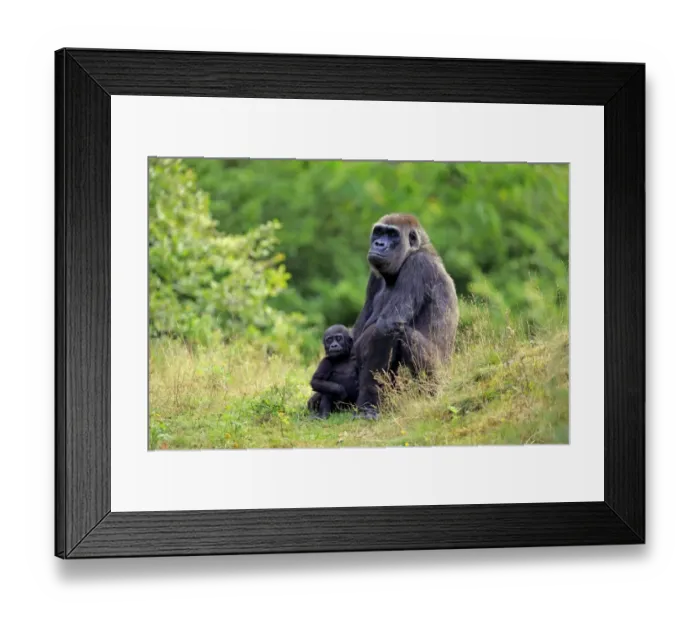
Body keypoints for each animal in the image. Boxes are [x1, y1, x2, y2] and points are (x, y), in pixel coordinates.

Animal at [351, 213, 459, 420]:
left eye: (393, 234)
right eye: (379, 232)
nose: (378, 244)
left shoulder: (418, 265)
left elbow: (387, 326)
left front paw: (369, 404)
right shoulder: (375, 277)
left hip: (440, 373)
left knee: (404, 335)